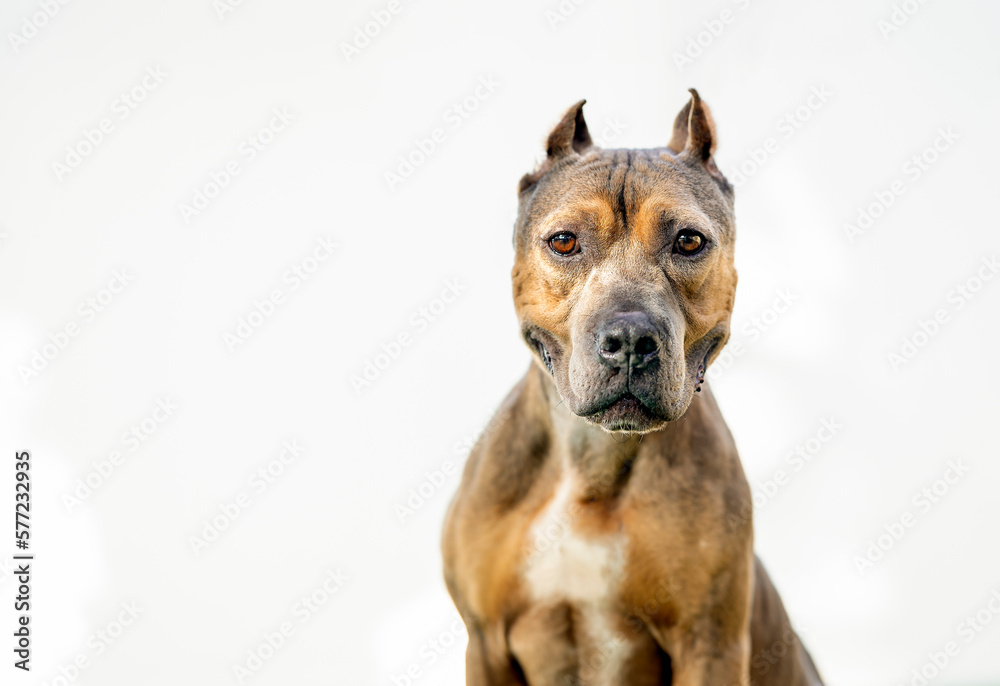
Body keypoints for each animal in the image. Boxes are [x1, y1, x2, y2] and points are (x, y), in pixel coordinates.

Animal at [444, 91, 820, 686]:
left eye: (688, 240)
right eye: (564, 241)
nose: (629, 339)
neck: (593, 463)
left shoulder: (709, 643)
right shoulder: (485, 644)